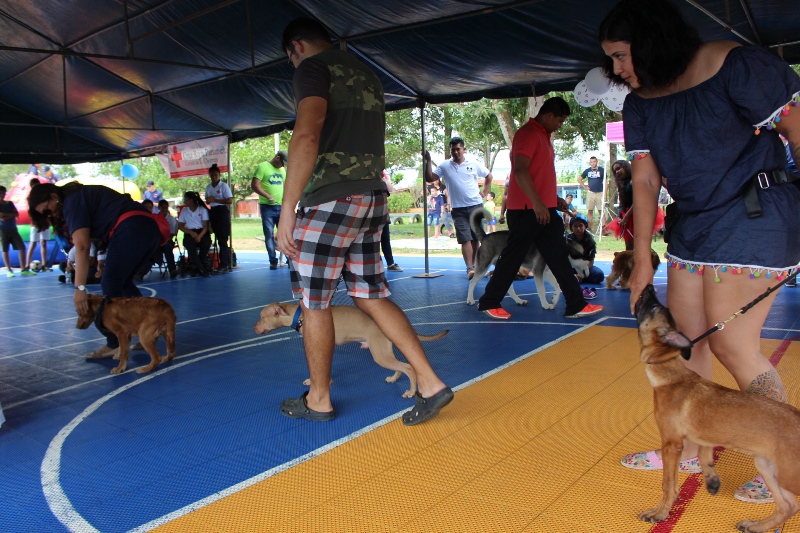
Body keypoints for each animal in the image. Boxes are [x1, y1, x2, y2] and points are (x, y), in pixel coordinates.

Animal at [254, 302, 449, 398]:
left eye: (262, 317)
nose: (254, 328)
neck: (300, 315)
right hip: (385, 352)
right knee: (401, 368)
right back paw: (394, 378)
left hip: (380, 355)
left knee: (409, 368)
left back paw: (410, 391)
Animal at [635, 284, 800, 532]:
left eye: (654, 307)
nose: (648, 286)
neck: (671, 373)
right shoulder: (703, 436)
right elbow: (704, 455)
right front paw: (711, 479)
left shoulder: (671, 444)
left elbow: (668, 485)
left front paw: (660, 512)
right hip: (768, 467)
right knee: (788, 506)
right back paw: (757, 526)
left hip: (788, 475)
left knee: (790, 504)